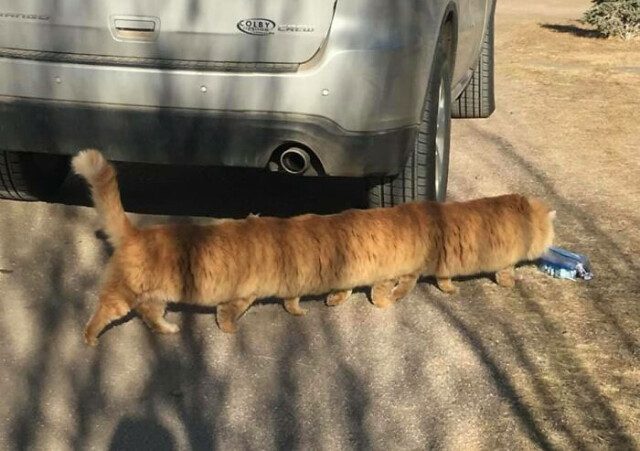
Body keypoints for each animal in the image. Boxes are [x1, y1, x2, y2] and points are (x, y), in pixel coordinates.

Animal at [72, 149, 556, 346]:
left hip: (154, 296)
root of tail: (135, 232)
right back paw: (91, 339)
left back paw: (169, 329)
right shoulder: (245, 294)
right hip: (121, 296)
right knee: (100, 315)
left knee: (151, 316)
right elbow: (231, 315)